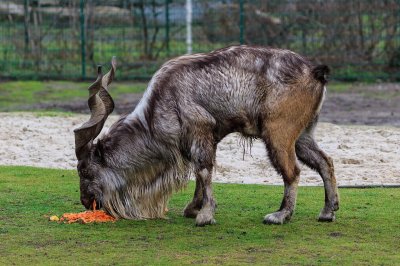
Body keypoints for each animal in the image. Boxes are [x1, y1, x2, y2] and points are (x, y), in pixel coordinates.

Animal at [74, 45, 338, 224]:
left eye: (85, 170)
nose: (86, 202)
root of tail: (314, 71)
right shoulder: (207, 138)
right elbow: (200, 172)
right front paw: (194, 208)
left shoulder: (200, 129)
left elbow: (203, 169)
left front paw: (205, 214)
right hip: (302, 135)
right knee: (324, 161)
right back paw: (328, 211)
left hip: (278, 133)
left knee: (292, 171)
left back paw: (281, 215)